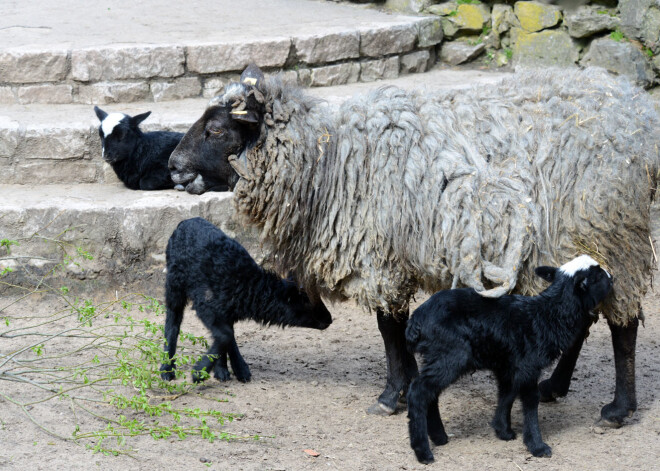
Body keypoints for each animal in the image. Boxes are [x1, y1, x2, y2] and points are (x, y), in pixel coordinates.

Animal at [158, 218, 332, 384]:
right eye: (306, 301)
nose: (329, 319)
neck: (246, 283)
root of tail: (185, 222)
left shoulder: (227, 311)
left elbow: (227, 336)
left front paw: (233, 370)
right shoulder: (205, 305)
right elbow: (225, 335)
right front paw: (200, 373)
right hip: (174, 284)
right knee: (173, 321)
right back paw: (167, 369)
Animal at [404, 256, 616, 462]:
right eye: (598, 276)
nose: (612, 278)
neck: (547, 315)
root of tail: (417, 318)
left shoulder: (509, 364)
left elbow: (507, 393)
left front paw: (503, 431)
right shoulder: (529, 364)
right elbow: (530, 401)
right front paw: (537, 446)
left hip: (438, 356)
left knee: (430, 393)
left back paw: (439, 437)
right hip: (450, 355)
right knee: (418, 391)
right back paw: (422, 451)